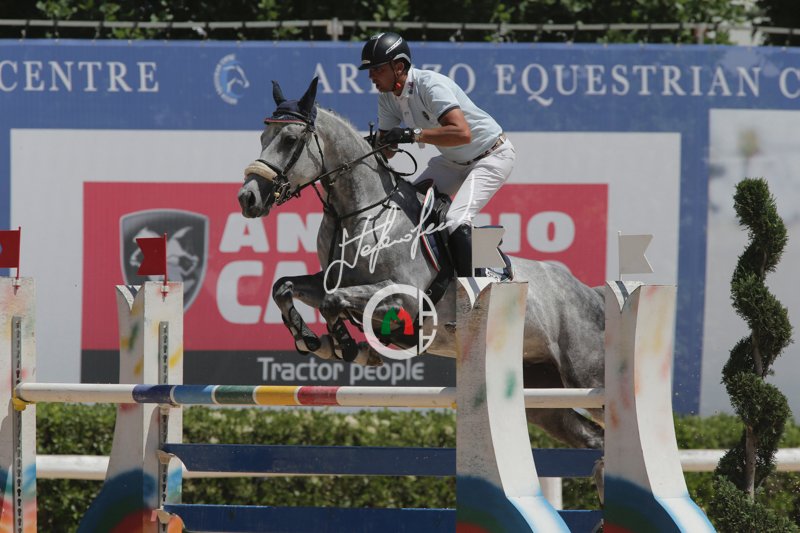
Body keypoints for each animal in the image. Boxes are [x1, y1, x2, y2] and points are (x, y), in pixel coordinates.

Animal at [237, 77, 606, 452]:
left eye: (289, 139)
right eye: (263, 137)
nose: (248, 199)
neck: (360, 213)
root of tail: (590, 292)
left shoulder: (405, 298)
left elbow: (332, 302)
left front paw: (348, 347)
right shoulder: (329, 279)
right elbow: (284, 286)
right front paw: (311, 339)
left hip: (585, 373)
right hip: (539, 390)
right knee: (589, 435)